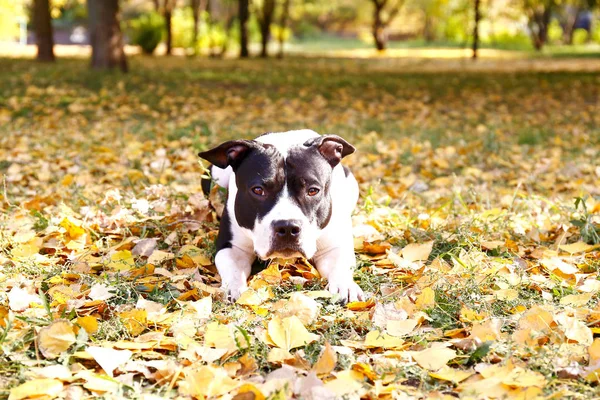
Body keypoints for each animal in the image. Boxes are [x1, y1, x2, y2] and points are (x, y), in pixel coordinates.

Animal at [199, 130, 364, 302]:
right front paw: (233, 288)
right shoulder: (232, 246)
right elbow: (233, 269)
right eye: (258, 190)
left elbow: (340, 264)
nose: (287, 227)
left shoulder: (334, 246)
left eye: (313, 190)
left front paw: (345, 285)